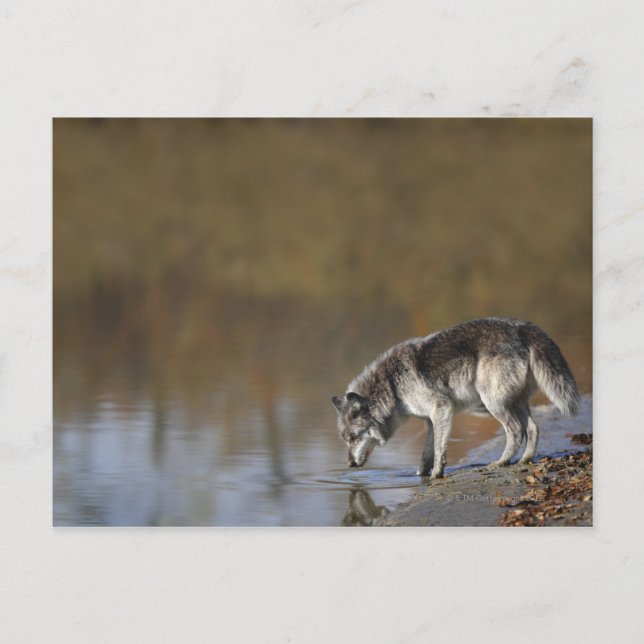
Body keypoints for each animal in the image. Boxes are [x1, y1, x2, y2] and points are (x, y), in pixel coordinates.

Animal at [332, 317, 579, 478]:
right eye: (346, 439)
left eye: (353, 438)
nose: (349, 464)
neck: (391, 384)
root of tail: (520, 327)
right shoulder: (430, 420)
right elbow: (426, 454)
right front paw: (420, 475)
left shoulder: (441, 408)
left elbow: (439, 449)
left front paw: (436, 475)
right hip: (515, 402)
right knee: (533, 428)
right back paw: (524, 460)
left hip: (493, 403)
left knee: (516, 430)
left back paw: (500, 462)